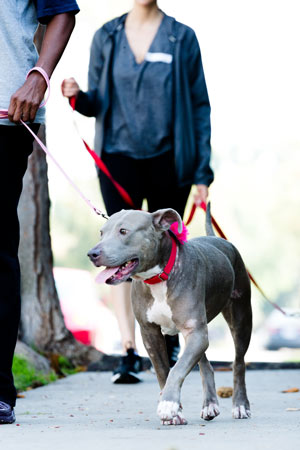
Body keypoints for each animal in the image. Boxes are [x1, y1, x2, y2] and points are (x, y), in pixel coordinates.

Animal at [88, 204, 252, 426]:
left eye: (123, 231)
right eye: (101, 233)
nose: (92, 253)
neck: (158, 278)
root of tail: (219, 239)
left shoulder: (195, 331)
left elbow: (177, 369)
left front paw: (167, 405)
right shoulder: (151, 334)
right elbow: (163, 372)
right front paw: (176, 412)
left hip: (241, 316)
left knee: (239, 362)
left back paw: (240, 405)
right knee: (205, 363)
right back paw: (209, 404)